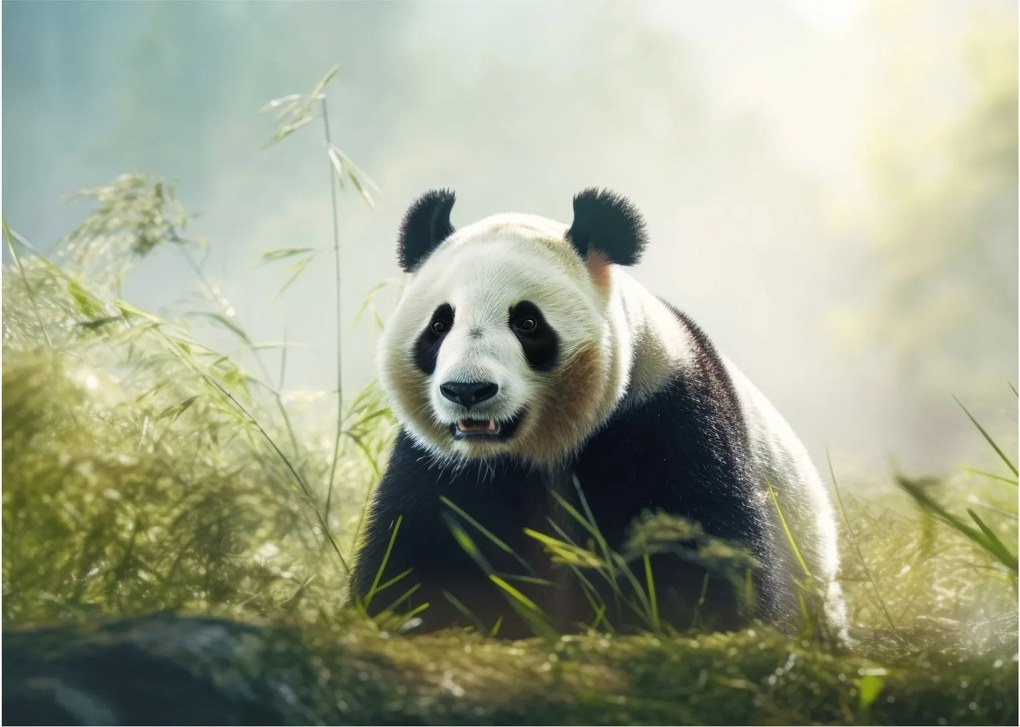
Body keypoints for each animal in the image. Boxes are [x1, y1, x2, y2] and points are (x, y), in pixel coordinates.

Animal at [349, 188, 846, 639]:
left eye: (527, 322)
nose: (467, 390)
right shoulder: (442, 465)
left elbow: (694, 550)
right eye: (439, 324)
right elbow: (421, 555)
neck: (540, 447)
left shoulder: (663, 415)